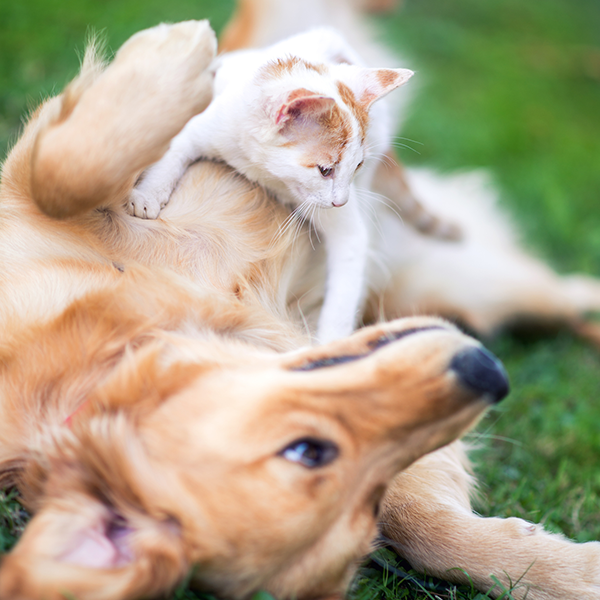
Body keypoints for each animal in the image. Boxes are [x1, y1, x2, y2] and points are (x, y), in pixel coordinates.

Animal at [129, 28, 414, 344]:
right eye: (325, 170)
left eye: (358, 165)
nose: (341, 201)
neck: (264, 172)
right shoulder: (208, 126)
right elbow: (173, 154)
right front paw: (147, 195)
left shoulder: (347, 227)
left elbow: (346, 281)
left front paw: (330, 342)